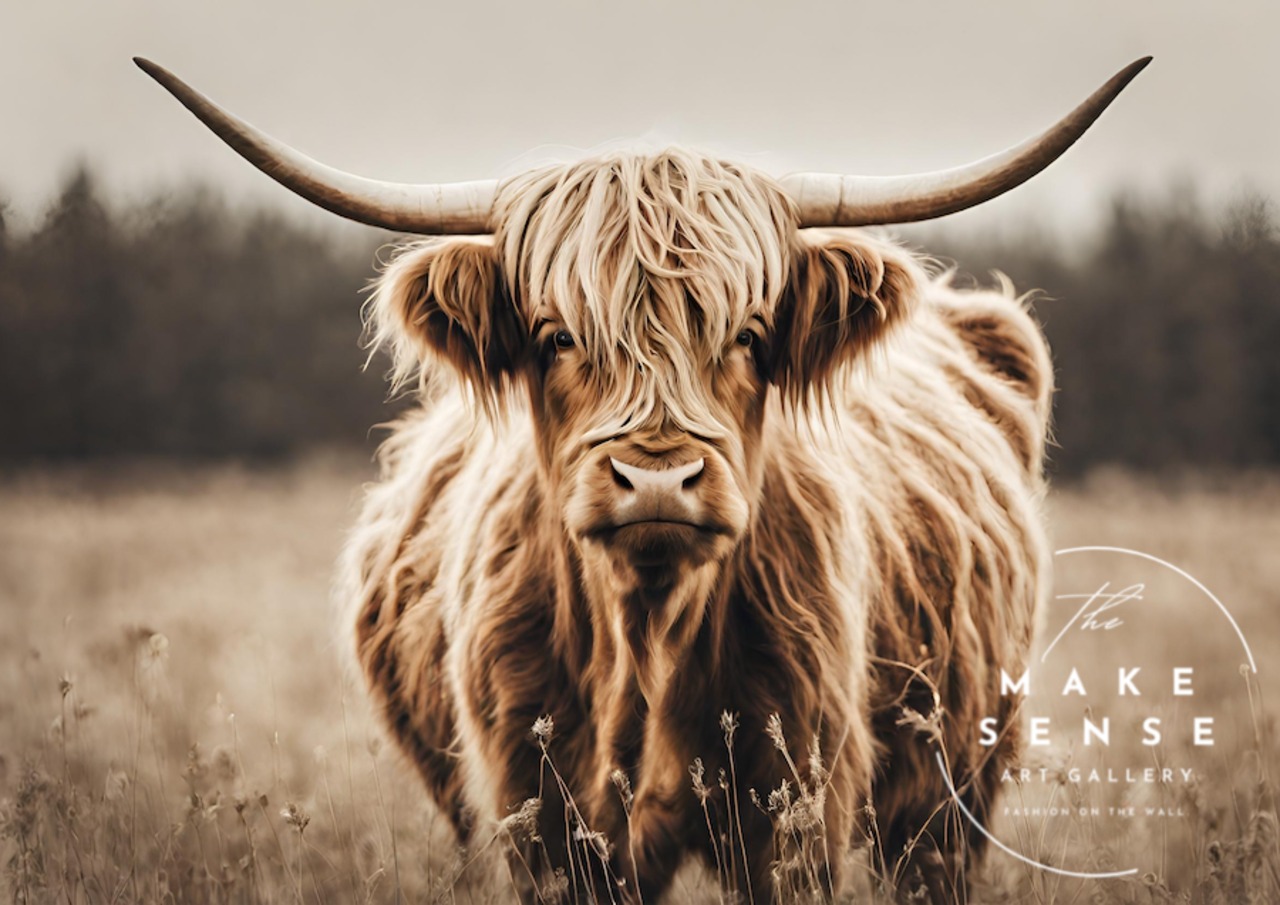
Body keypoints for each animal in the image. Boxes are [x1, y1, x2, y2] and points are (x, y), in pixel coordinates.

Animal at [137, 56, 1150, 903]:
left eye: (748, 333)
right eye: (555, 335)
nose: (658, 479)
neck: (648, 636)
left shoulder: (798, 807)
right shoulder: (542, 821)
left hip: (952, 790)